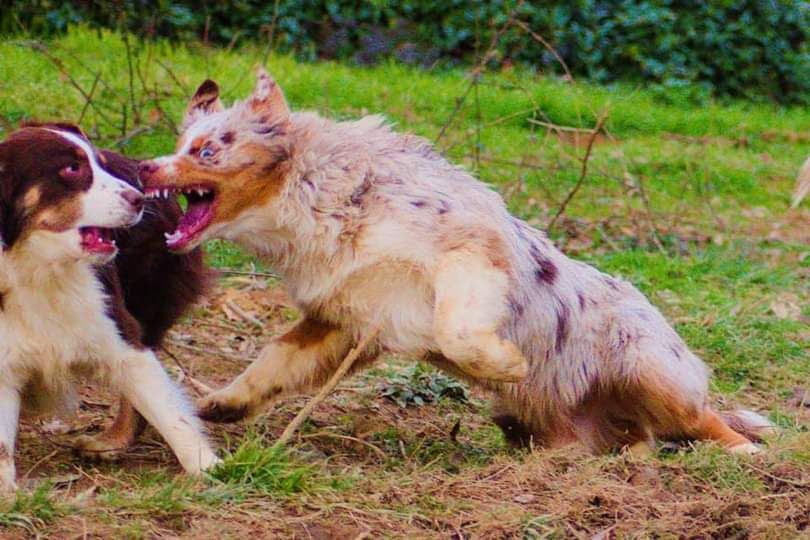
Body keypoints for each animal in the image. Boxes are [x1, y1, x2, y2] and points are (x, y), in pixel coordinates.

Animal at [0, 124, 218, 492]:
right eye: (72, 169)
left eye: (100, 164)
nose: (139, 198)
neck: (40, 271)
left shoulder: (118, 330)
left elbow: (170, 413)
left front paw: (213, 469)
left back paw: (112, 441)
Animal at [140, 68, 772, 456]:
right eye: (178, 144)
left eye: (206, 150)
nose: (145, 167)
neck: (318, 194)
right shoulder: (341, 317)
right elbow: (274, 361)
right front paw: (223, 403)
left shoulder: (467, 253)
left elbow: (456, 325)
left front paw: (506, 363)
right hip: (548, 420)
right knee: (630, 440)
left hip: (648, 369)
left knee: (703, 421)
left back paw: (748, 452)